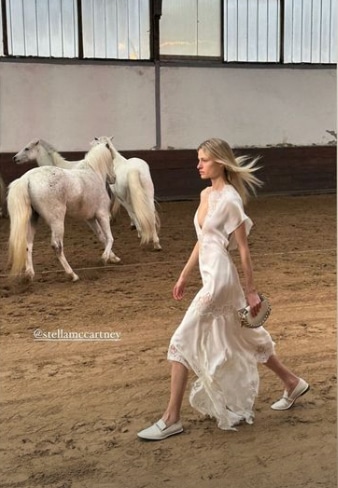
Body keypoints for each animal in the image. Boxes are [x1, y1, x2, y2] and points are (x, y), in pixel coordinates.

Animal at [6, 141, 120, 282]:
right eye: (112, 158)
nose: (114, 178)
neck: (94, 173)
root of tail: (27, 178)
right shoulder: (102, 214)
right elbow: (109, 238)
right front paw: (104, 258)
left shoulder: (90, 219)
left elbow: (102, 237)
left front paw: (113, 258)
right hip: (57, 221)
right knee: (57, 246)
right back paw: (72, 274)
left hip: (32, 219)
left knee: (28, 244)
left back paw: (30, 274)